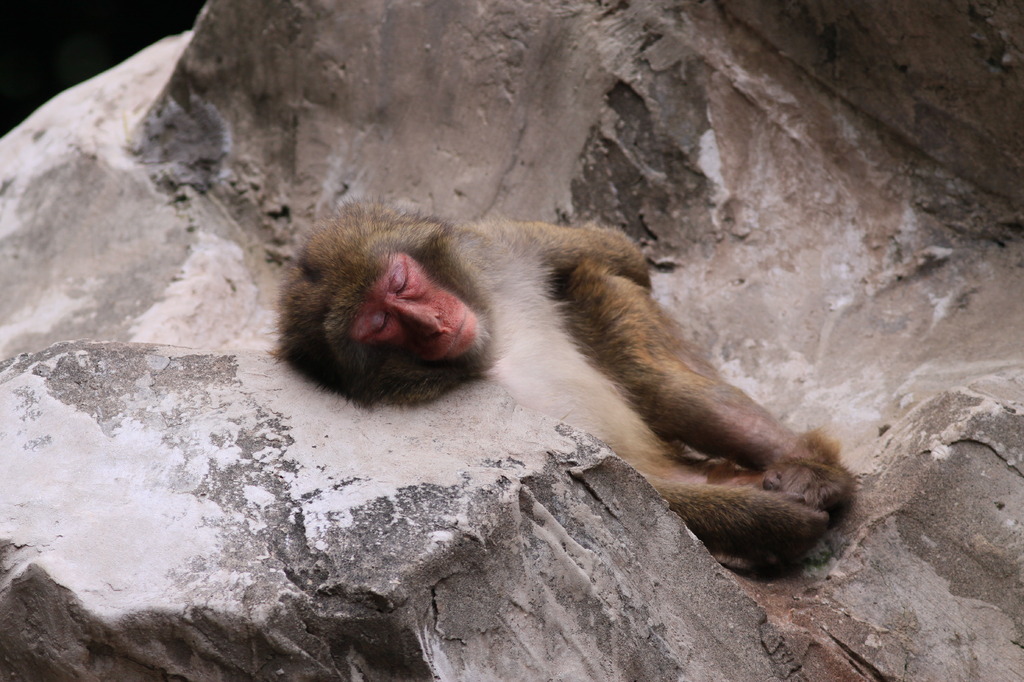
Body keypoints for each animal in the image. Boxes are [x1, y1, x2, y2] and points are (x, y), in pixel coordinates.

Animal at [274, 201, 856, 569]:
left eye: (399, 283)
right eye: (379, 325)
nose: (431, 324)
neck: (489, 356)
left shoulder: (498, 251)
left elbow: (615, 256)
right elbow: (603, 485)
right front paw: (777, 522)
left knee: (626, 335)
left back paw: (806, 469)